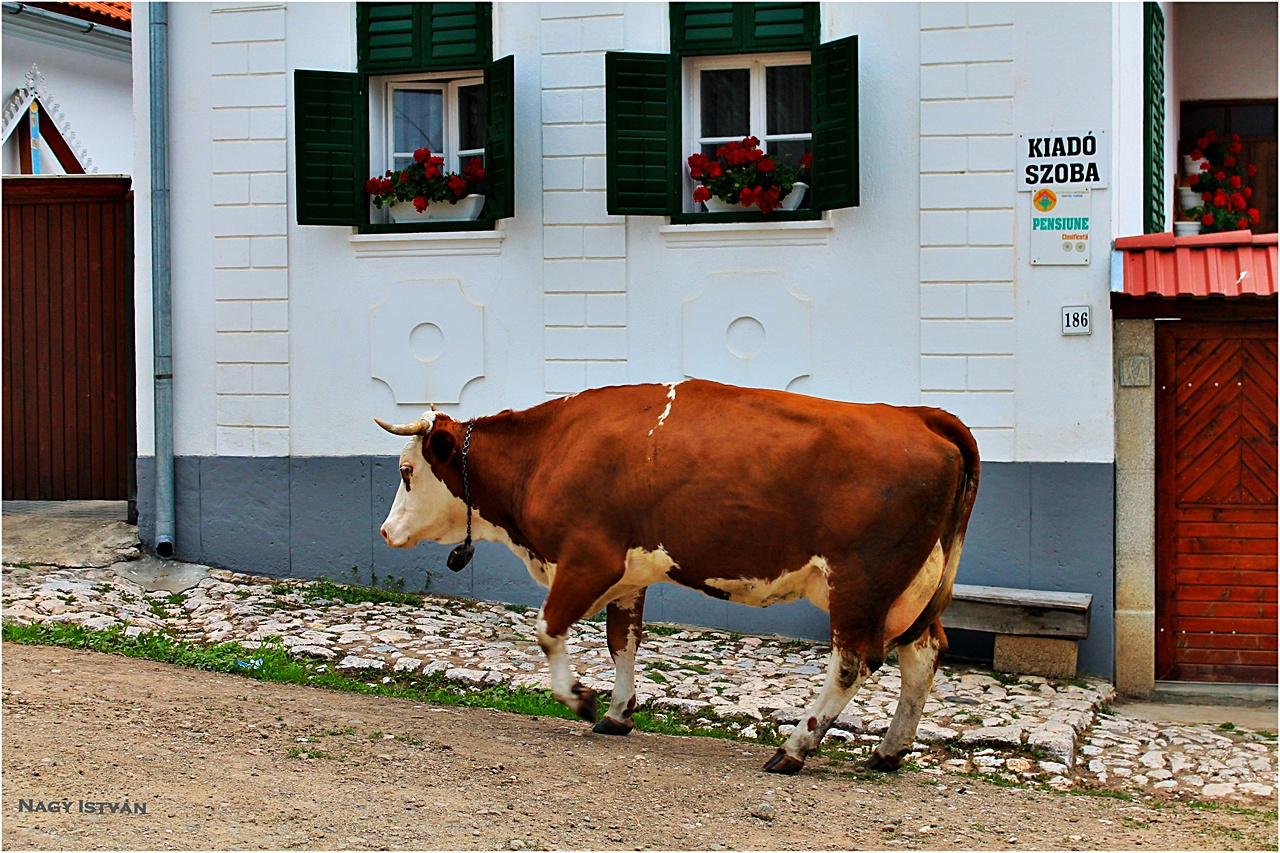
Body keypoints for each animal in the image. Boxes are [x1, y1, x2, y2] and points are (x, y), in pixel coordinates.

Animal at [378, 379, 977, 768]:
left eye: (407, 471)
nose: (385, 531)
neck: (551, 449)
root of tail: (916, 415)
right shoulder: (629, 574)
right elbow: (623, 641)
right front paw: (617, 713)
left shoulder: (588, 559)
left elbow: (548, 631)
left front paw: (579, 697)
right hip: (910, 589)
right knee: (922, 655)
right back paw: (890, 751)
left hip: (860, 584)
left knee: (854, 662)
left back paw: (794, 748)